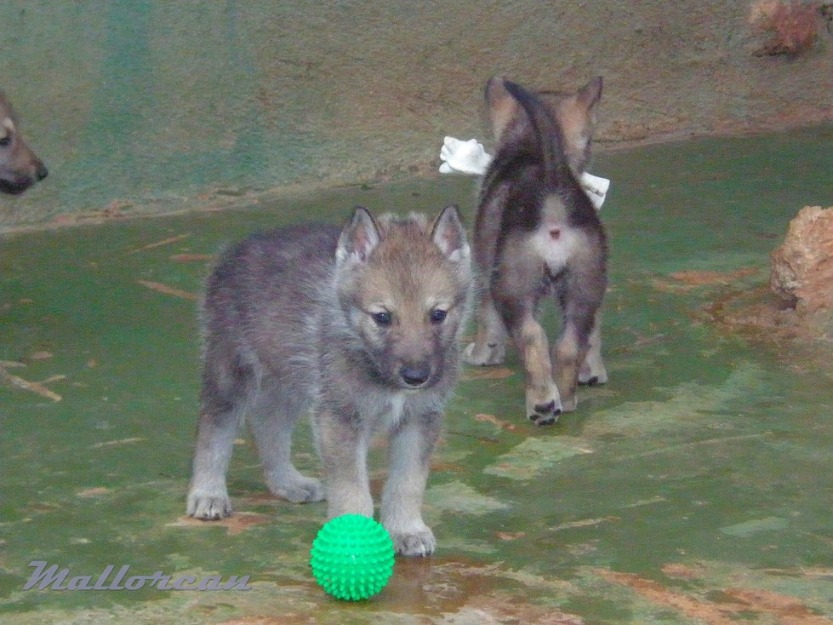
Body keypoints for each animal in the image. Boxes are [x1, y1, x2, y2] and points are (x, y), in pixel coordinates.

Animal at [190, 206, 474, 556]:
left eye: (438, 314)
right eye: (382, 317)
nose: (416, 377)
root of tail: (235, 249)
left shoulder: (420, 419)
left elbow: (408, 482)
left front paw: (406, 529)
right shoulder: (340, 417)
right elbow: (352, 487)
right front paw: (356, 541)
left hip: (288, 379)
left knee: (268, 425)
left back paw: (287, 482)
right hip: (231, 371)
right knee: (214, 427)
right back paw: (208, 493)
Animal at [464, 75, 608, 422]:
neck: (529, 145)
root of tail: (552, 186)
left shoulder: (486, 274)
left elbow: (485, 320)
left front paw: (481, 353)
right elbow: (594, 335)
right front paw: (593, 370)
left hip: (513, 288)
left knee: (533, 338)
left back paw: (542, 402)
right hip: (584, 285)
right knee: (568, 346)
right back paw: (565, 399)